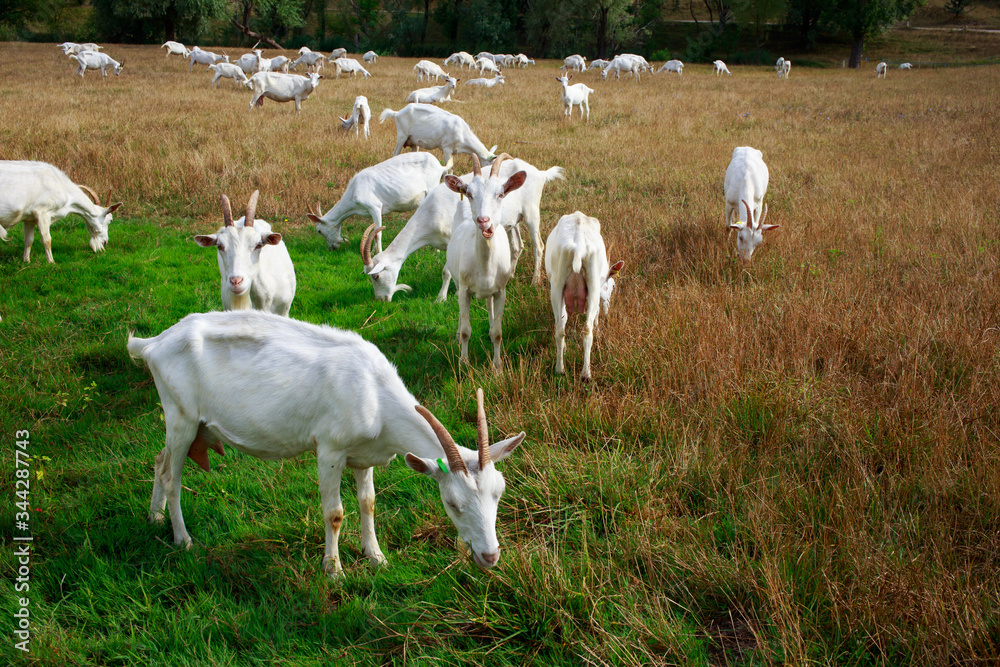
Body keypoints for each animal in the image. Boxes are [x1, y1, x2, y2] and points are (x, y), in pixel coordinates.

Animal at [128, 314, 526, 577]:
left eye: (499, 494)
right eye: (452, 504)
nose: (490, 557)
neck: (376, 394)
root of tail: (152, 343)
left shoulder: (363, 455)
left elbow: (368, 502)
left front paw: (376, 557)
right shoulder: (330, 450)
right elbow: (334, 513)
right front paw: (333, 570)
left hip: (187, 425)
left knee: (158, 460)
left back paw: (155, 516)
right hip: (180, 416)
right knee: (172, 476)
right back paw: (182, 538)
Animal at [308, 152, 454, 252]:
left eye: (319, 231)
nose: (332, 248)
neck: (353, 196)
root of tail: (440, 166)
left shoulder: (375, 206)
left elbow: (378, 233)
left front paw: (378, 252)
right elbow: (372, 232)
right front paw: (371, 251)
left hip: (432, 187)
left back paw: (436, 250)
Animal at [360, 156, 565, 300]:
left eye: (376, 277)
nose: (381, 300)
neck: (431, 211)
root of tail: (540, 173)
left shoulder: (453, 237)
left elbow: (447, 271)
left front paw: (441, 298)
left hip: (531, 211)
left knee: (538, 245)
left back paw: (534, 282)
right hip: (513, 220)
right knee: (517, 245)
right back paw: (510, 275)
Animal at [545, 211, 625, 380]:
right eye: (612, 285)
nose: (608, 309)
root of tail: (578, 245)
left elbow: (563, 319)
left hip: (557, 285)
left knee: (561, 330)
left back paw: (561, 369)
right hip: (593, 285)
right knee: (588, 330)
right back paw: (586, 374)